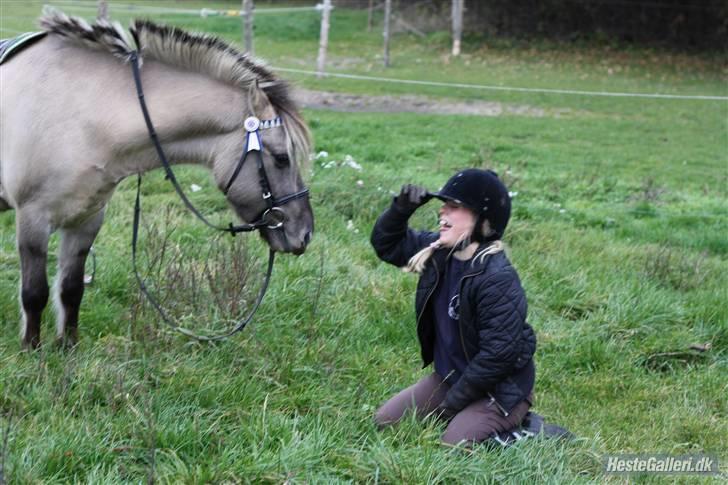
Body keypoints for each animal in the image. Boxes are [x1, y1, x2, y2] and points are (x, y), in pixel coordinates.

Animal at [0, 10, 312, 348]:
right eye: (281, 158)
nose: (305, 234)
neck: (80, 111)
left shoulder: (86, 222)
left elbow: (71, 289)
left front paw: (68, 347)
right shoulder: (32, 219)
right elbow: (35, 294)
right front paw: (32, 349)